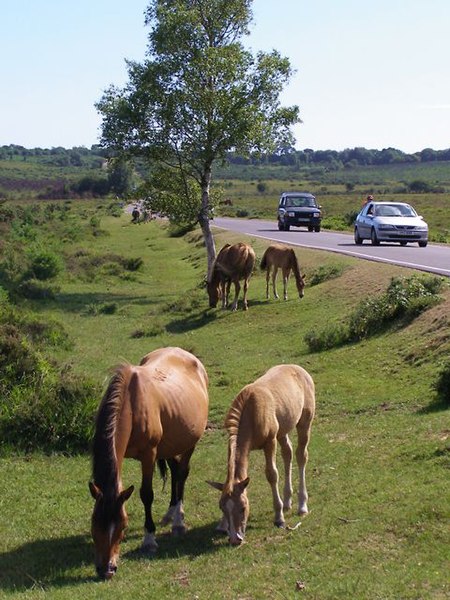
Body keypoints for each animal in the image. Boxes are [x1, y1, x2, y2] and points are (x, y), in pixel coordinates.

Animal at [209, 364, 314, 548]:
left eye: (243, 508)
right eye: (222, 507)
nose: (235, 539)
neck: (251, 410)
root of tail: (299, 369)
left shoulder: (269, 442)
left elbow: (272, 474)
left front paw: (279, 518)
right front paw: (222, 524)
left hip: (304, 423)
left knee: (301, 456)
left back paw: (301, 506)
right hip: (283, 431)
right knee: (288, 453)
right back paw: (287, 502)